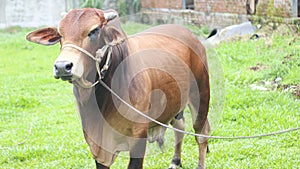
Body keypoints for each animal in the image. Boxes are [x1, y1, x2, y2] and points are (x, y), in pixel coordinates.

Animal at [27, 8, 211, 169]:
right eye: (60, 35)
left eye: (94, 30)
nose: (62, 66)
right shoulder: (96, 142)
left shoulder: (138, 136)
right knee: (180, 127)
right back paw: (175, 161)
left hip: (201, 95)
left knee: (201, 134)